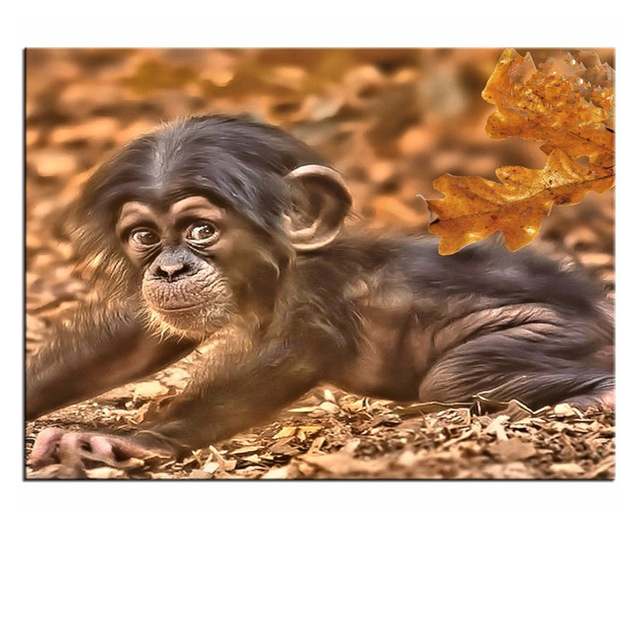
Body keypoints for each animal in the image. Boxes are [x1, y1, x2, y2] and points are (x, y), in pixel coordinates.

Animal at [26, 114, 614, 476]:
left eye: (200, 229)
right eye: (145, 237)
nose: (170, 269)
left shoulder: (316, 296)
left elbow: (287, 358)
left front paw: (137, 442)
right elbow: (139, 337)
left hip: (554, 330)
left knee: (454, 375)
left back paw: (598, 395)